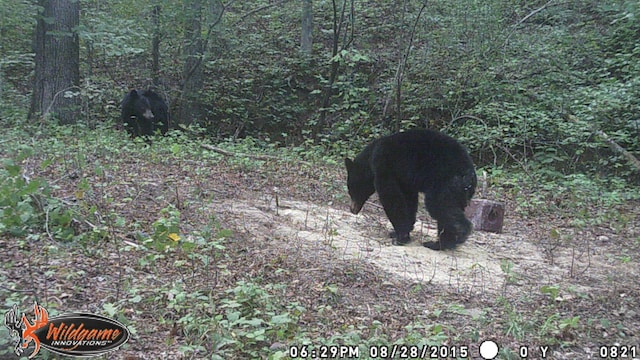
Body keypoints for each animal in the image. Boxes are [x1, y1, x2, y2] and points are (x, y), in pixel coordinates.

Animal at [344, 129, 476, 250]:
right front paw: (401, 230)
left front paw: (401, 236)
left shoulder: (384, 166)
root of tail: (469, 174)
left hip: (445, 183)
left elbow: (391, 195)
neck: (370, 156)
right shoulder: (405, 179)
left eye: (350, 190)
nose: (352, 209)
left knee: (440, 206)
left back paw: (446, 241)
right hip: (459, 193)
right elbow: (409, 199)